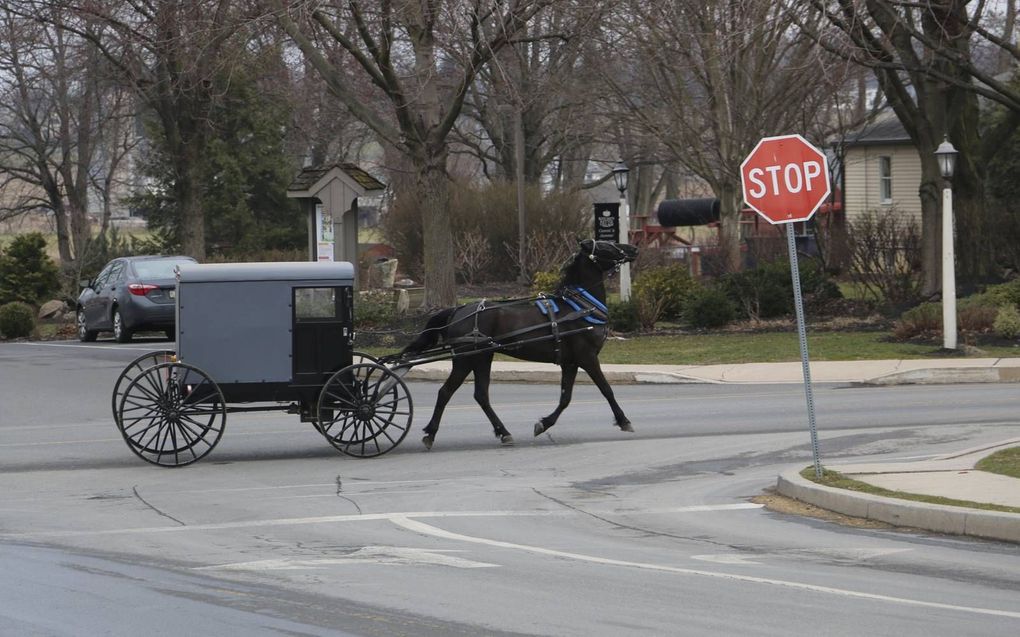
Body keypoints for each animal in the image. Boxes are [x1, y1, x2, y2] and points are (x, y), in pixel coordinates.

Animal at [399, 238, 632, 446]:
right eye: (605, 245)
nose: (633, 248)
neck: (579, 307)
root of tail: (458, 310)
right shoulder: (587, 357)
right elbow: (606, 389)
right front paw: (624, 420)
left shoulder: (570, 362)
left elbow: (565, 398)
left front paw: (544, 424)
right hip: (466, 360)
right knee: (446, 392)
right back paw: (431, 433)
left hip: (482, 358)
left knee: (481, 395)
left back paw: (503, 432)